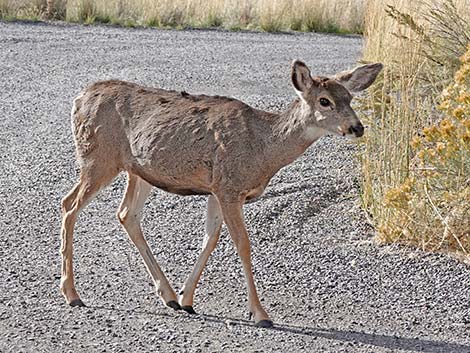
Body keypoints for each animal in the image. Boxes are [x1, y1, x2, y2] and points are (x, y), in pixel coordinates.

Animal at [60, 59, 382, 328]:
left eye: (349, 98)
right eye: (324, 101)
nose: (357, 127)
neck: (262, 149)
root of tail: (79, 98)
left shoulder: (215, 190)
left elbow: (211, 239)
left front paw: (187, 299)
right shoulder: (229, 187)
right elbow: (243, 244)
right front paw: (260, 313)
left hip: (139, 171)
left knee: (126, 213)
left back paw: (168, 296)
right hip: (97, 158)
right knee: (69, 204)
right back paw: (72, 293)